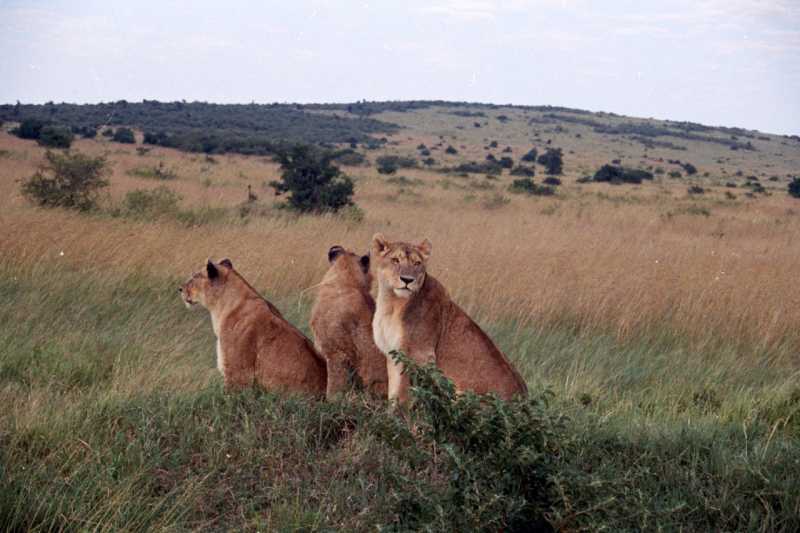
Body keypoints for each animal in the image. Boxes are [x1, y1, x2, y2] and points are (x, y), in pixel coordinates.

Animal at [370, 234, 528, 403]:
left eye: (417, 263)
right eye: (395, 260)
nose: (407, 280)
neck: (391, 303)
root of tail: (525, 400)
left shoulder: (415, 355)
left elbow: (401, 395)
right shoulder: (393, 355)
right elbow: (393, 391)